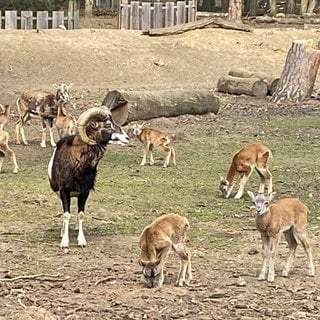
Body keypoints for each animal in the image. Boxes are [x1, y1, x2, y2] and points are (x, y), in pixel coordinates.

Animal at [48, 106, 128, 249]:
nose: (126, 138)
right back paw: (62, 233)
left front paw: (81, 241)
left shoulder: (84, 192)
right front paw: (64, 242)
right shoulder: (64, 191)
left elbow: (80, 215)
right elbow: (66, 215)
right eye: (108, 125)